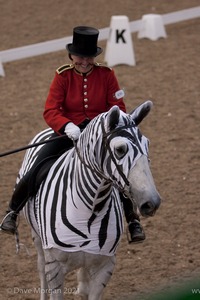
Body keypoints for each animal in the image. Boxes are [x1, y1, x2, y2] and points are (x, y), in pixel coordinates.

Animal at [21, 101, 161, 300]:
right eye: (120, 149)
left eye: (147, 144)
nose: (152, 202)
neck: (90, 209)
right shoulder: (54, 268)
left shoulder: (104, 267)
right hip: (38, 239)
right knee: (41, 269)